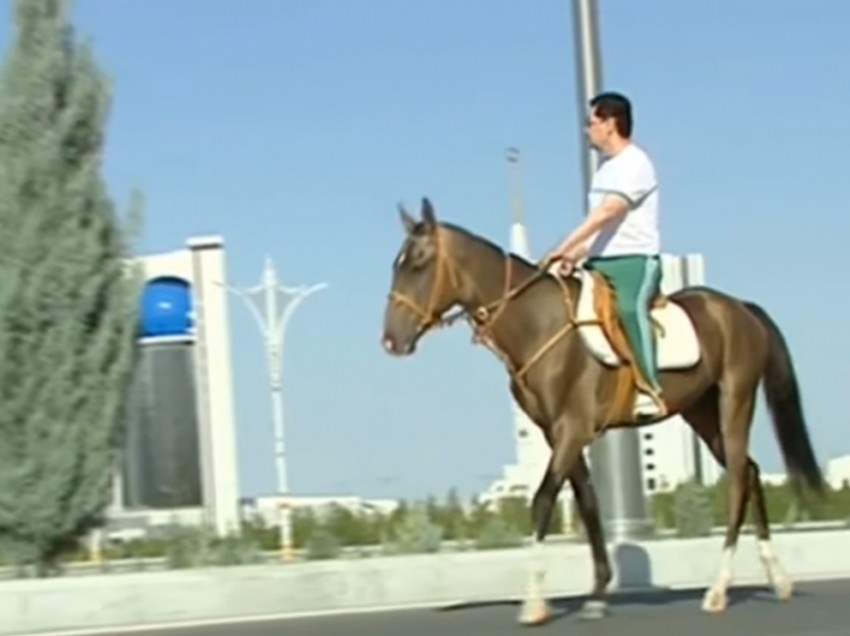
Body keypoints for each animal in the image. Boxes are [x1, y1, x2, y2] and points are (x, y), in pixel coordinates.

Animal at [380, 197, 825, 625]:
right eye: (395, 264)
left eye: (419, 262)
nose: (390, 341)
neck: (538, 324)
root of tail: (741, 308)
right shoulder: (558, 433)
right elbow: (589, 505)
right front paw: (596, 594)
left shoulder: (571, 429)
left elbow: (543, 501)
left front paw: (534, 603)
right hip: (700, 412)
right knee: (749, 471)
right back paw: (777, 577)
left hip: (735, 400)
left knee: (736, 481)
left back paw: (718, 589)